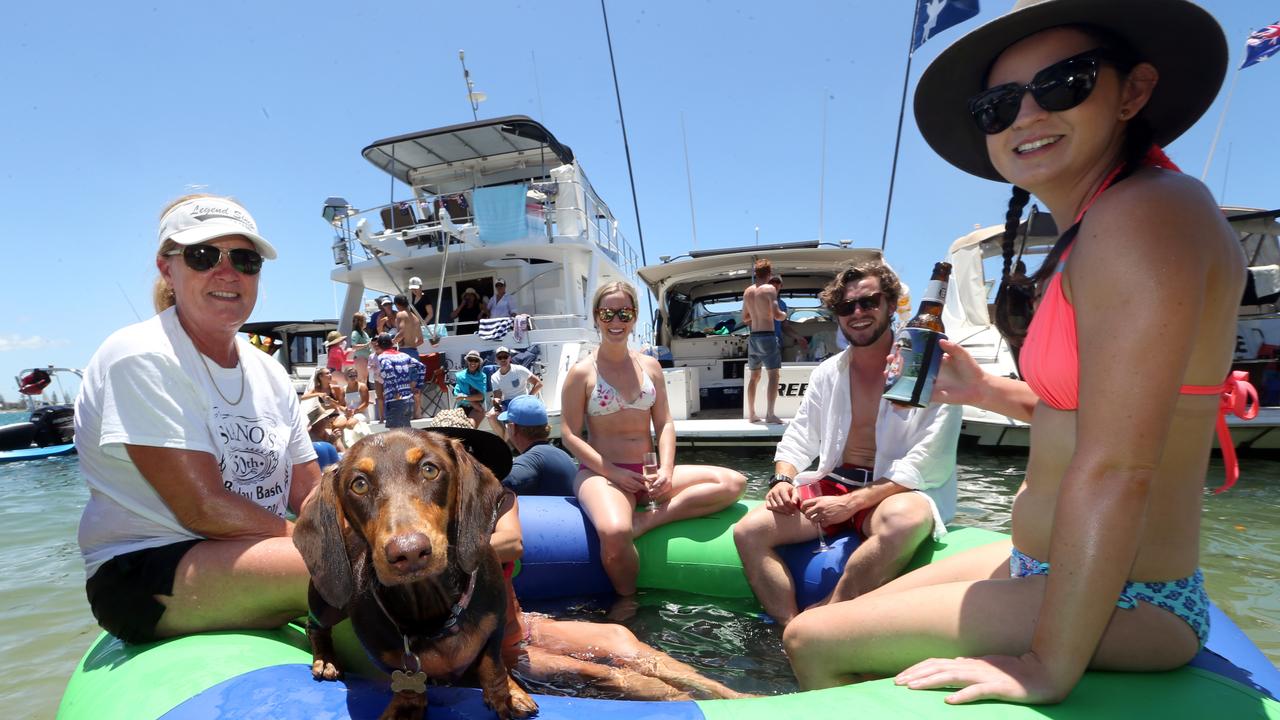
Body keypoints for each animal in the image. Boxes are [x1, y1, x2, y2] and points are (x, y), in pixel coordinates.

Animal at [295, 427, 540, 712]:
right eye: (359, 484)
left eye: (429, 470)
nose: (409, 552)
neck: (435, 612)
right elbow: (406, 681)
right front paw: (406, 707)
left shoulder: (495, 625)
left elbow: (493, 663)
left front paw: (506, 696)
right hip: (327, 602)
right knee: (315, 626)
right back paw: (326, 659)